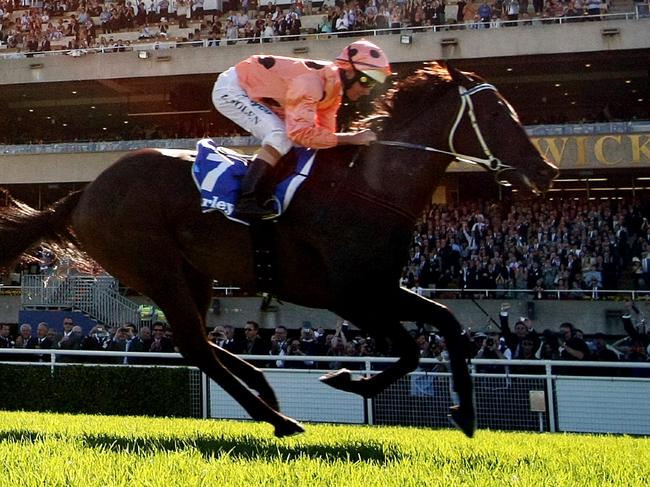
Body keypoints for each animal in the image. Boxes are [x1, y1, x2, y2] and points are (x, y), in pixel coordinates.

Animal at [0, 63, 556, 440]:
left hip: (193, 273)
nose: (546, 171)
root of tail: (83, 194)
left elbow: (447, 322)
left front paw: (464, 413)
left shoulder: (379, 287)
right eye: (498, 114)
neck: (369, 189)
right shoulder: (349, 297)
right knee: (195, 345)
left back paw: (263, 387)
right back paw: (278, 418)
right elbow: (412, 348)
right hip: (157, 270)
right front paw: (349, 380)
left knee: (198, 342)